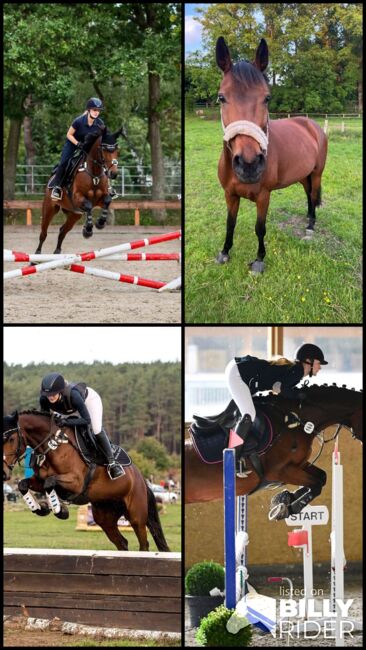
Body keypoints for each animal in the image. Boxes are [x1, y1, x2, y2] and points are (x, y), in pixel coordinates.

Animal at [3, 408, 170, 548]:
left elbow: (50, 483)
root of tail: (142, 480)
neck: (54, 446)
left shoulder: (76, 482)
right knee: (122, 542)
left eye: (11, 439)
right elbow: (23, 485)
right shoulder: (39, 480)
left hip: (136, 515)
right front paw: (41, 508)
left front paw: (60, 511)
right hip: (105, 517)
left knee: (144, 543)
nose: (4, 473)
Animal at [36, 125, 121, 254]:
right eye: (104, 149)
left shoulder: (100, 200)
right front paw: (88, 230)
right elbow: (88, 205)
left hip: (74, 214)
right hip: (49, 208)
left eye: (116, 150)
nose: (114, 173)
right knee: (43, 233)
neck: (94, 173)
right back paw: (36, 255)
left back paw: (57, 252)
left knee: (62, 230)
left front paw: (100, 223)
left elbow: (107, 201)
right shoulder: (78, 198)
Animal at [184, 382, 362, 520]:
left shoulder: (300, 465)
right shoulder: (280, 471)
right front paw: (284, 509)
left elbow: (322, 477)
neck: (295, 421)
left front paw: (285, 498)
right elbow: (316, 484)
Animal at [216, 36, 328, 272]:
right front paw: (225, 252)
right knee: (308, 194)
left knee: (314, 194)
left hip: (316, 173)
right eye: (221, 97)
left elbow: (260, 228)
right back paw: (308, 217)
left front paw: (259, 260)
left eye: (266, 98)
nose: (249, 164)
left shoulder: (263, 196)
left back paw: (310, 227)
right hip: (303, 175)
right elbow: (230, 223)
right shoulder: (230, 194)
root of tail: (312, 125)